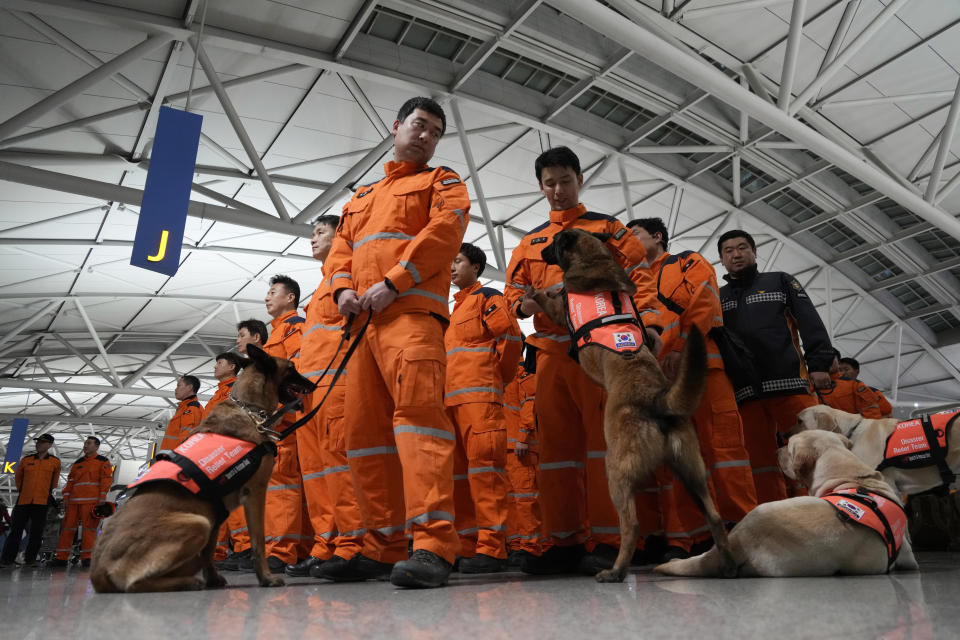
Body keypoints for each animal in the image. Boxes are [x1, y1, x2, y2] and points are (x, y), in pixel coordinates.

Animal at [89, 348, 316, 592]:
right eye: (292, 368)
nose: (314, 384)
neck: (248, 409)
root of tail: (97, 572)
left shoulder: (217, 512)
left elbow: (209, 552)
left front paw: (213, 578)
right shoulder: (256, 492)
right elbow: (258, 542)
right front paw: (266, 577)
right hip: (198, 523)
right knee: (134, 585)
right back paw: (188, 581)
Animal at [528, 228, 740, 584]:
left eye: (554, 243)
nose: (541, 252)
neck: (594, 258)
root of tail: (657, 399)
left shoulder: (560, 309)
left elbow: (549, 298)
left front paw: (532, 292)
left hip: (616, 471)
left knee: (631, 526)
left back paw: (615, 571)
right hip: (692, 474)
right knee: (714, 517)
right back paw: (727, 566)